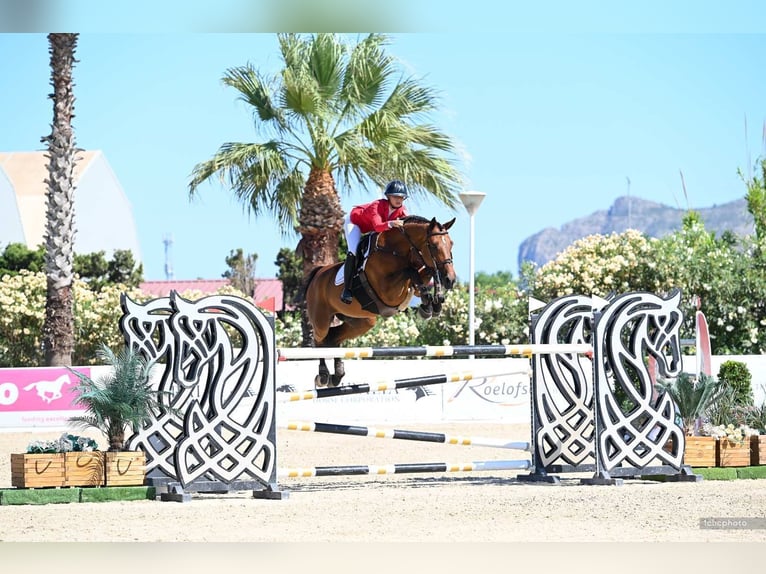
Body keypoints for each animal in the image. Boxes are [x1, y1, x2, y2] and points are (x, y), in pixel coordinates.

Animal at [304, 215, 460, 388]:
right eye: (433, 245)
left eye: (451, 243)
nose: (451, 280)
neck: (396, 250)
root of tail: (318, 274)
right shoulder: (388, 291)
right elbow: (410, 272)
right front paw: (429, 306)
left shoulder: (419, 275)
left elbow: (425, 274)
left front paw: (434, 304)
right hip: (321, 321)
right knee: (319, 340)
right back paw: (323, 376)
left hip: (362, 321)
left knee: (333, 338)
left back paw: (337, 375)